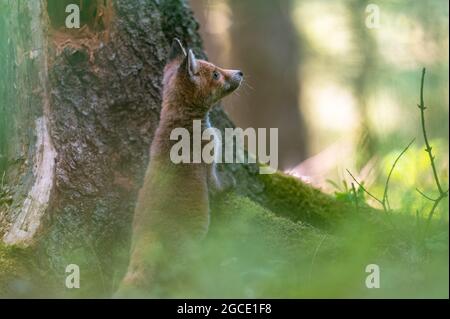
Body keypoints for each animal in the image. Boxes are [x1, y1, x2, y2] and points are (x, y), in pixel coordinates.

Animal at [116, 40, 243, 298]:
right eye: (216, 74)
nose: (240, 72)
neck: (182, 123)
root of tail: (146, 239)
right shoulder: (209, 163)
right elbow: (217, 186)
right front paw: (230, 183)